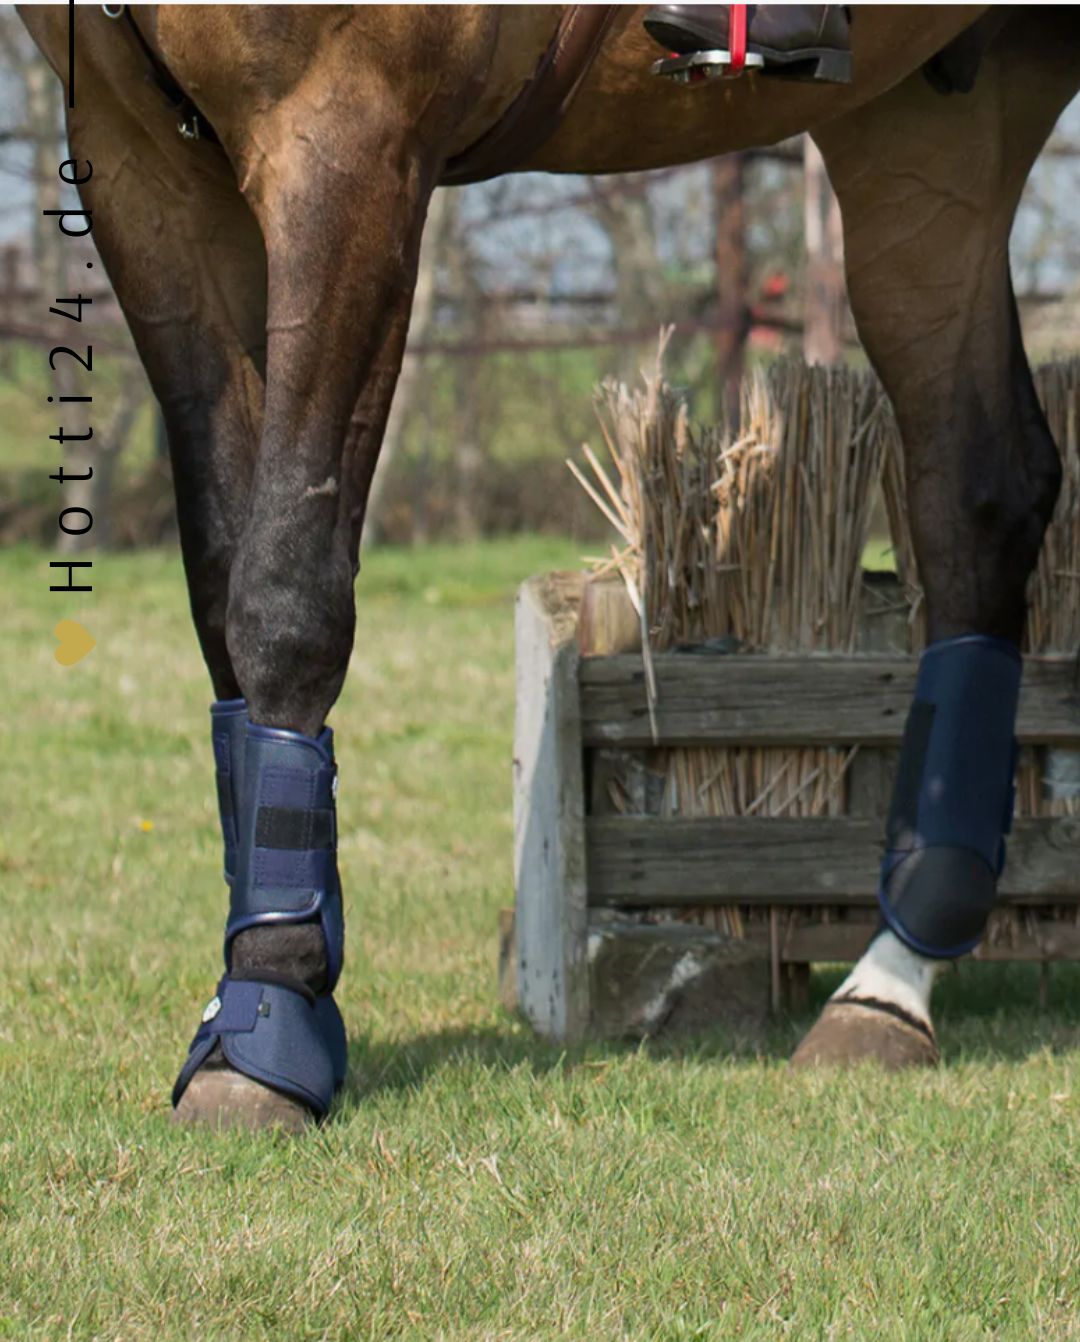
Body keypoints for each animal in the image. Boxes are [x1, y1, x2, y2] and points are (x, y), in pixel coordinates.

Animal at [19, 3, 1080, 1131]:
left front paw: (268, 1018)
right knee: (977, 495)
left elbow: (286, 588)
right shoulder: (146, 172)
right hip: (932, 129)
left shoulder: (348, 137)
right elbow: (224, 582)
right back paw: (887, 989)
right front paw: (257, 1003)